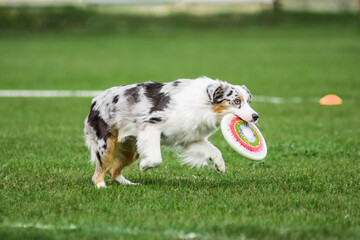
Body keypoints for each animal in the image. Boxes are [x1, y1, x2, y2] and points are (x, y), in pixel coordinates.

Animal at [84, 77, 258, 188]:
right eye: (237, 101)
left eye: (249, 101)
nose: (256, 116)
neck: (204, 105)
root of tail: (95, 101)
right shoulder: (151, 126)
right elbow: (156, 158)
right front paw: (145, 166)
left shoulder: (189, 138)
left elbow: (214, 150)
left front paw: (220, 166)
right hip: (107, 144)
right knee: (99, 170)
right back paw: (101, 186)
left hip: (130, 149)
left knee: (113, 170)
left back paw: (129, 184)